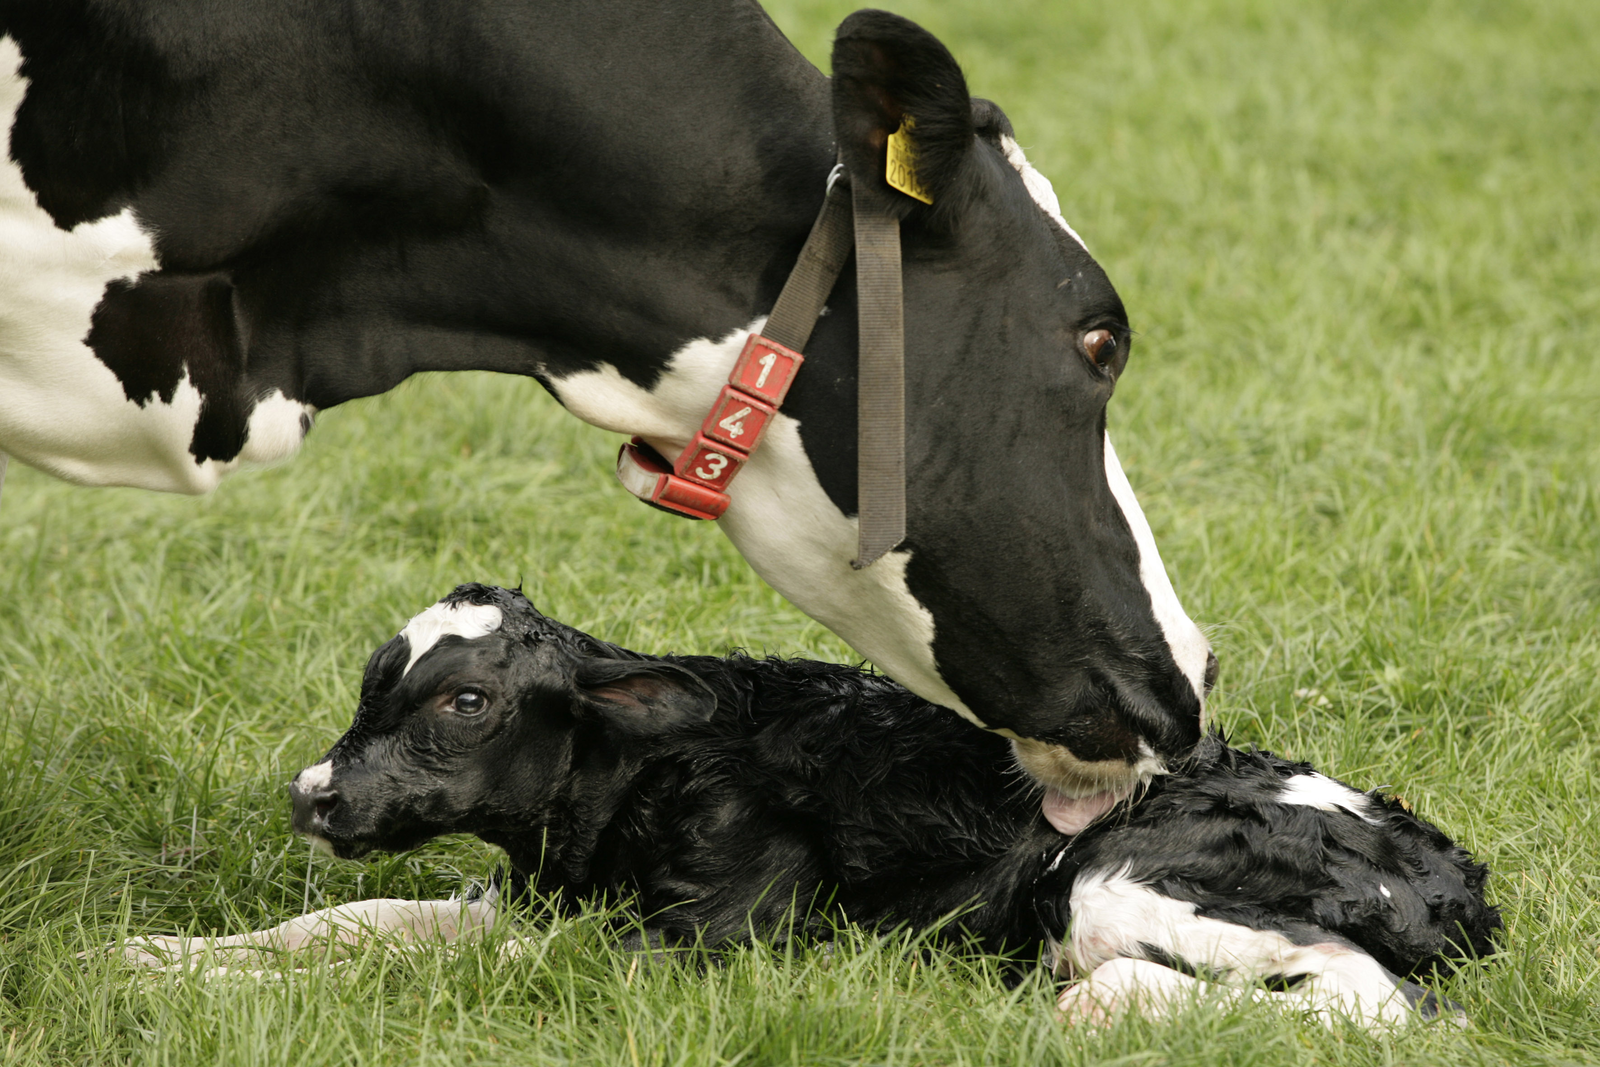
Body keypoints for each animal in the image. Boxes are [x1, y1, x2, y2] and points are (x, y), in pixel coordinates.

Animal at [124, 588, 1497, 1030]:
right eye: (373, 681)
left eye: (464, 698)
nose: (312, 793)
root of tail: (1459, 877)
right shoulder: (536, 896)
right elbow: (355, 923)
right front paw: (160, 953)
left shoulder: (713, 935)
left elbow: (408, 966)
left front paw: (202, 985)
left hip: (1116, 877)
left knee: (1370, 1000)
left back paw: (1079, 1014)